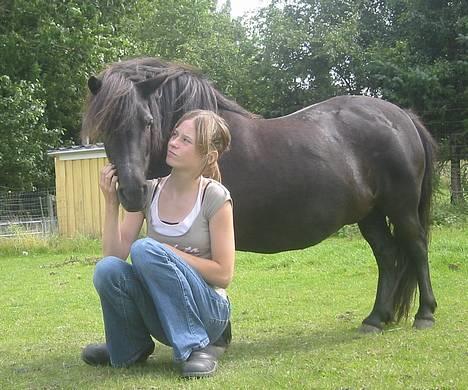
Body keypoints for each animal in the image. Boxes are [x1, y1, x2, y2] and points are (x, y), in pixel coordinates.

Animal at [82, 58, 436, 332]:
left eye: (147, 121)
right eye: (105, 127)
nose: (132, 191)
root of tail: (402, 117)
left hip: (401, 208)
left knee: (416, 248)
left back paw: (425, 315)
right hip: (371, 214)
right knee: (387, 255)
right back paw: (376, 319)